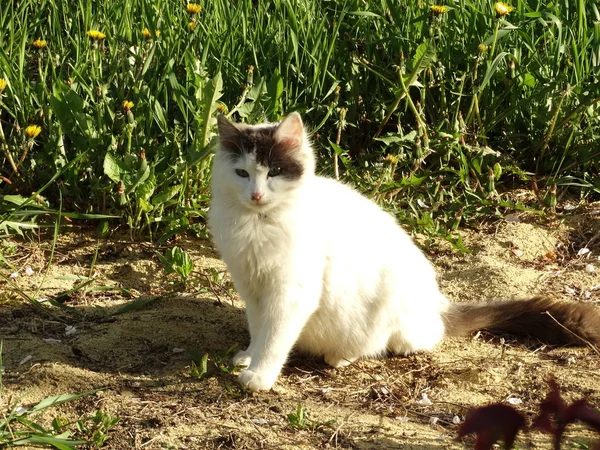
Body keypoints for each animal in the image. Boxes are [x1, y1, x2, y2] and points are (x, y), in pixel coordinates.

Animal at [209, 111, 600, 390]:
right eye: (243, 173)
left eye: (274, 171)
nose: (256, 194)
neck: (258, 223)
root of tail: (437, 305)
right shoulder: (252, 287)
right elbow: (258, 328)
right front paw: (249, 357)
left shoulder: (291, 292)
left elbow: (275, 337)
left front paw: (260, 375)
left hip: (393, 310)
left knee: (415, 340)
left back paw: (343, 355)